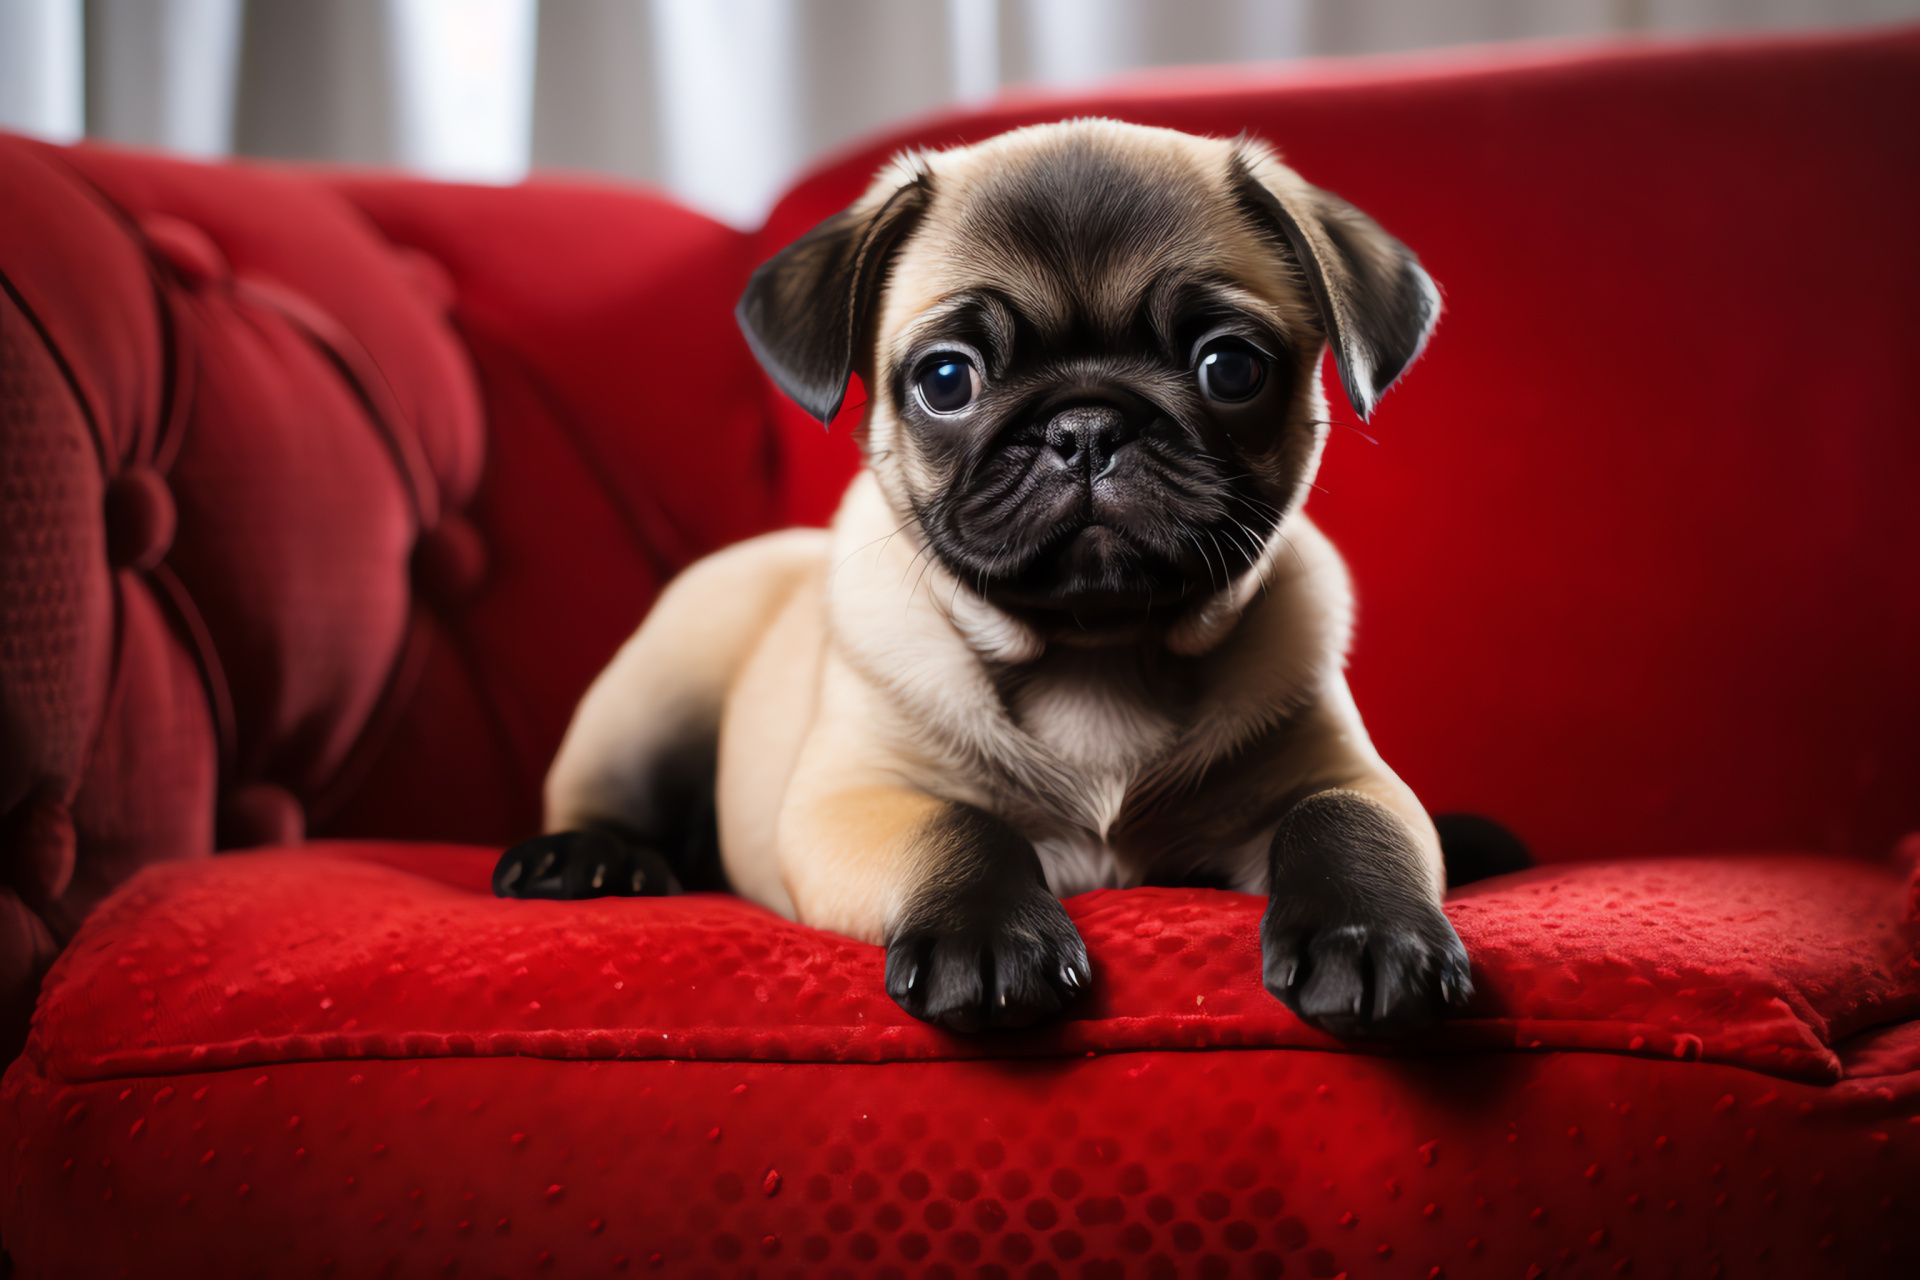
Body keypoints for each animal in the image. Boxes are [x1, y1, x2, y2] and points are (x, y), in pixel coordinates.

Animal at [495, 117, 1466, 1043]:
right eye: (946, 378)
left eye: (1231, 367)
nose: (1086, 425)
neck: (1096, 655)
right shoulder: (852, 801)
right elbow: (957, 826)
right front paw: (988, 940)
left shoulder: (1341, 775)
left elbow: (1345, 823)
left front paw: (1374, 937)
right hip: (652, 695)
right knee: (604, 796)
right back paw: (586, 860)